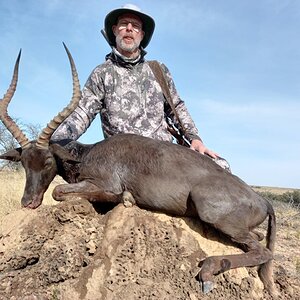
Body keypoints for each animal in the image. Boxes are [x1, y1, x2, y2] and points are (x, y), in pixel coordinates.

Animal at [0, 47, 278, 298]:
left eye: (47, 161)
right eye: (24, 162)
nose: (28, 202)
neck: (88, 153)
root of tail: (262, 200)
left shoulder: (105, 184)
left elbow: (60, 191)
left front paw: (126, 198)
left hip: (210, 211)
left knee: (264, 251)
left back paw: (209, 270)